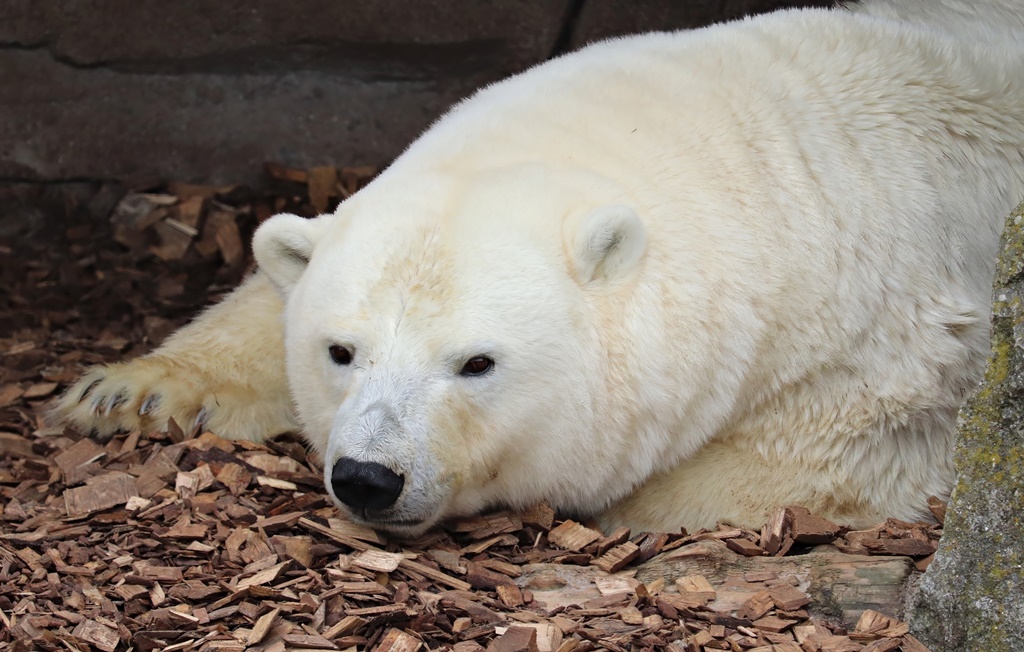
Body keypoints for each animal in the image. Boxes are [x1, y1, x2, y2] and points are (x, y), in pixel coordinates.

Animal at [55, 0, 1024, 536]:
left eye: (477, 363)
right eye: (340, 352)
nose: (369, 476)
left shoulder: (905, 352)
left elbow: (831, 458)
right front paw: (128, 393)